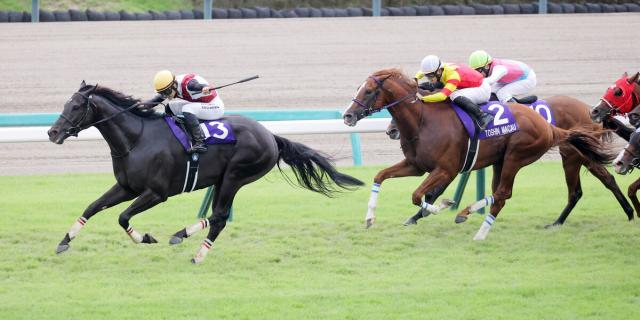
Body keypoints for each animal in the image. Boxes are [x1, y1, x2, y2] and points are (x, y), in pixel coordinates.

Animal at [47, 82, 362, 262]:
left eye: (76, 106)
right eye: (65, 103)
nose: (52, 132)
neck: (136, 138)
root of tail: (271, 136)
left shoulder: (156, 193)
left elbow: (123, 217)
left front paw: (146, 238)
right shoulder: (127, 188)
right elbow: (92, 207)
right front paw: (63, 242)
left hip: (236, 175)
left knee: (220, 216)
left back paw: (191, 247)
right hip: (224, 179)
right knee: (218, 215)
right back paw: (188, 241)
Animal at [344, 69, 616, 240]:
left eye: (369, 91)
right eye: (358, 88)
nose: (347, 116)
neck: (423, 121)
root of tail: (549, 127)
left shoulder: (447, 169)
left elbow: (420, 195)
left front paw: (440, 207)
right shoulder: (416, 166)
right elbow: (380, 177)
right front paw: (370, 218)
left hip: (521, 156)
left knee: (504, 194)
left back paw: (478, 230)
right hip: (503, 161)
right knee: (501, 194)